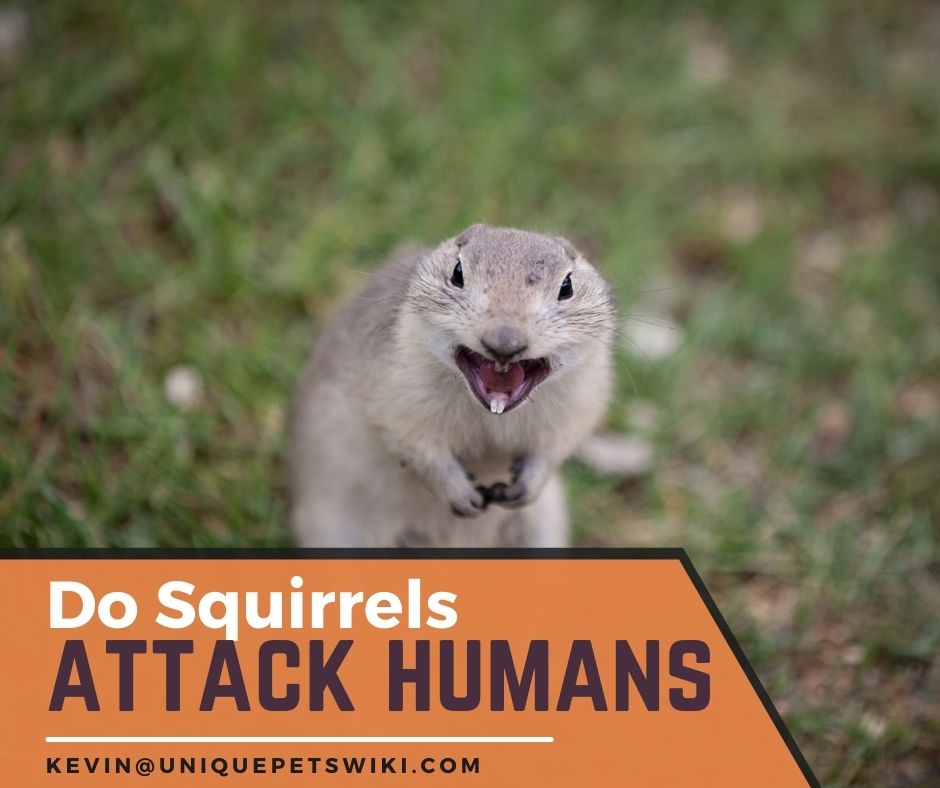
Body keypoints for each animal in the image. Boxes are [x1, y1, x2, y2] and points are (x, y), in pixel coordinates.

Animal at [288, 223, 616, 547]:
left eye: (567, 287)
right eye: (457, 272)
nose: (504, 341)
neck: (491, 415)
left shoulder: (583, 398)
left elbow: (558, 445)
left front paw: (522, 488)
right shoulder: (394, 393)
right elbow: (416, 446)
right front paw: (462, 495)